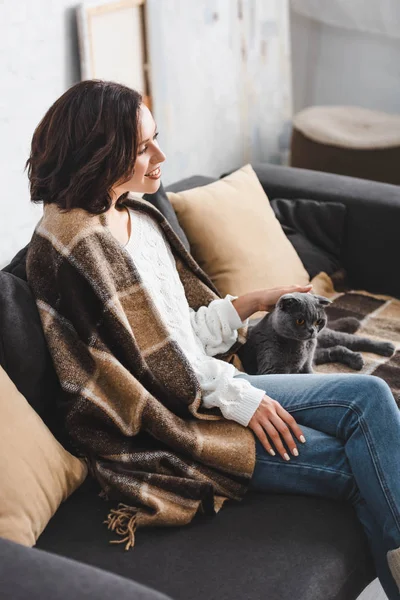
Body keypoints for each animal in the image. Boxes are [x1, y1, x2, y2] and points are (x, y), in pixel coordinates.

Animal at [239, 292, 396, 376]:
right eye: (300, 321)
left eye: (318, 321)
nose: (312, 330)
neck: (300, 346)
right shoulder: (274, 370)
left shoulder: (306, 365)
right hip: (316, 352)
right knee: (335, 349)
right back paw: (356, 360)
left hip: (325, 338)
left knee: (352, 340)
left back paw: (387, 347)